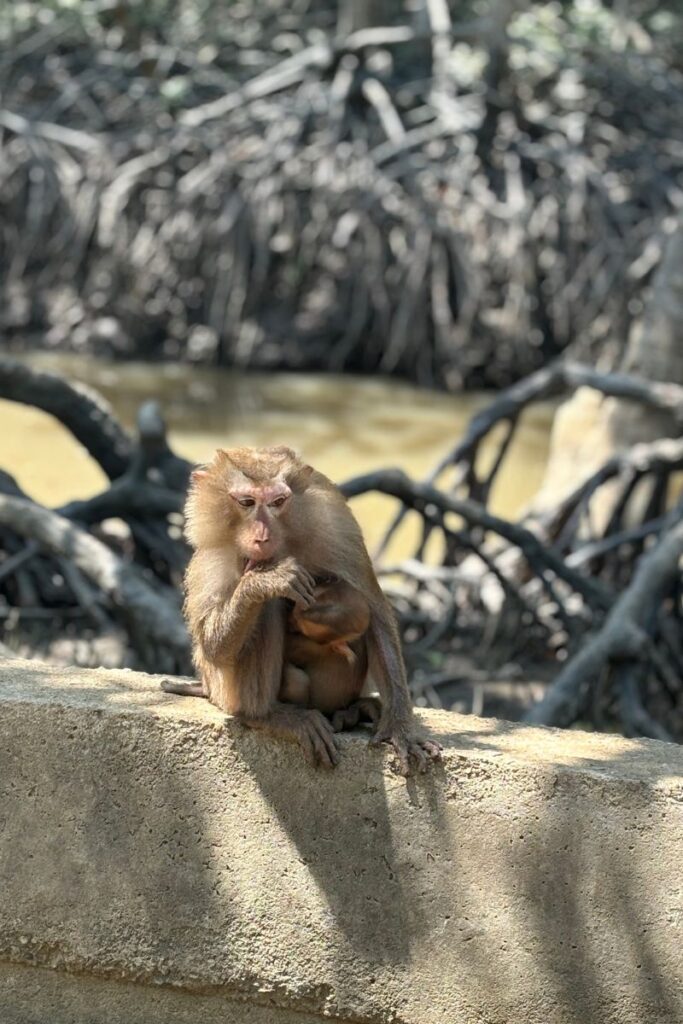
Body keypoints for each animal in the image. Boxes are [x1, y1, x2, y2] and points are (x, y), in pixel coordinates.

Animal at [161, 446, 441, 774]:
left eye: (278, 502)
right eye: (246, 502)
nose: (262, 537)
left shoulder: (333, 521)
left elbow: (375, 611)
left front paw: (400, 729)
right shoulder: (212, 552)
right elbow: (213, 648)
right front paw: (266, 580)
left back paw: (354, 711)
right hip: (223, 692)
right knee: (265, 610)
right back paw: (264, 715)